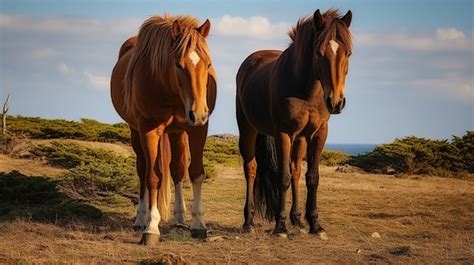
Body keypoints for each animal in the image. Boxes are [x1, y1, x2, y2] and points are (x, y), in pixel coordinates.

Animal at [110, 14, 216, 244]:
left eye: (208, 64)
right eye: (178, 65)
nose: (199, 113)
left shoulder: (198, 129)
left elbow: (195, 173)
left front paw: (198, 224)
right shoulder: (148, 130)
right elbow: (153, 177)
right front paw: (151, 227)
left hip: (177, 133)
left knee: (177, 170)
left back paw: (180, 219)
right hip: (136, 132)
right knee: (143, 170)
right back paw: (142, 217)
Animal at [237, 9, 352, 236]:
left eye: (348, 53)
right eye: (319, 53)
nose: (336, 102)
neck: (307, 91)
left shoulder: (319, 133)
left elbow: (311, 177)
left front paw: (315, 224)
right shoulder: (283, 133)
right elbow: (283, 177)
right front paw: (280, 227)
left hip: (300, 139)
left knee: (296, 170)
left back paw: (297, 219)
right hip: (247, 130)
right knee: (251, 169)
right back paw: (249, 222)